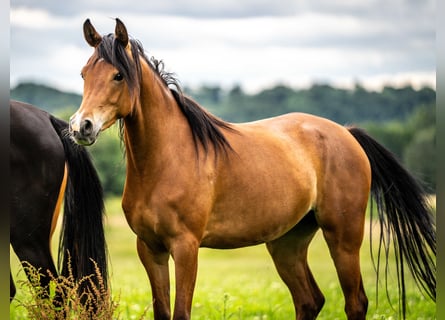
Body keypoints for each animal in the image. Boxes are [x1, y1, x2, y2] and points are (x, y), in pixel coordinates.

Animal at [69, 19, 434, 320]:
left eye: (118, 75)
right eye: (84, 73)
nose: (81, 126)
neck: (166, 161)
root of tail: (346, 133)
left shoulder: (186, 248)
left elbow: (181, 313)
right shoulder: (150, 248)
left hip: (343, 238)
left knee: (355, 302)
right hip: (287, 243)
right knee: (309, 301)